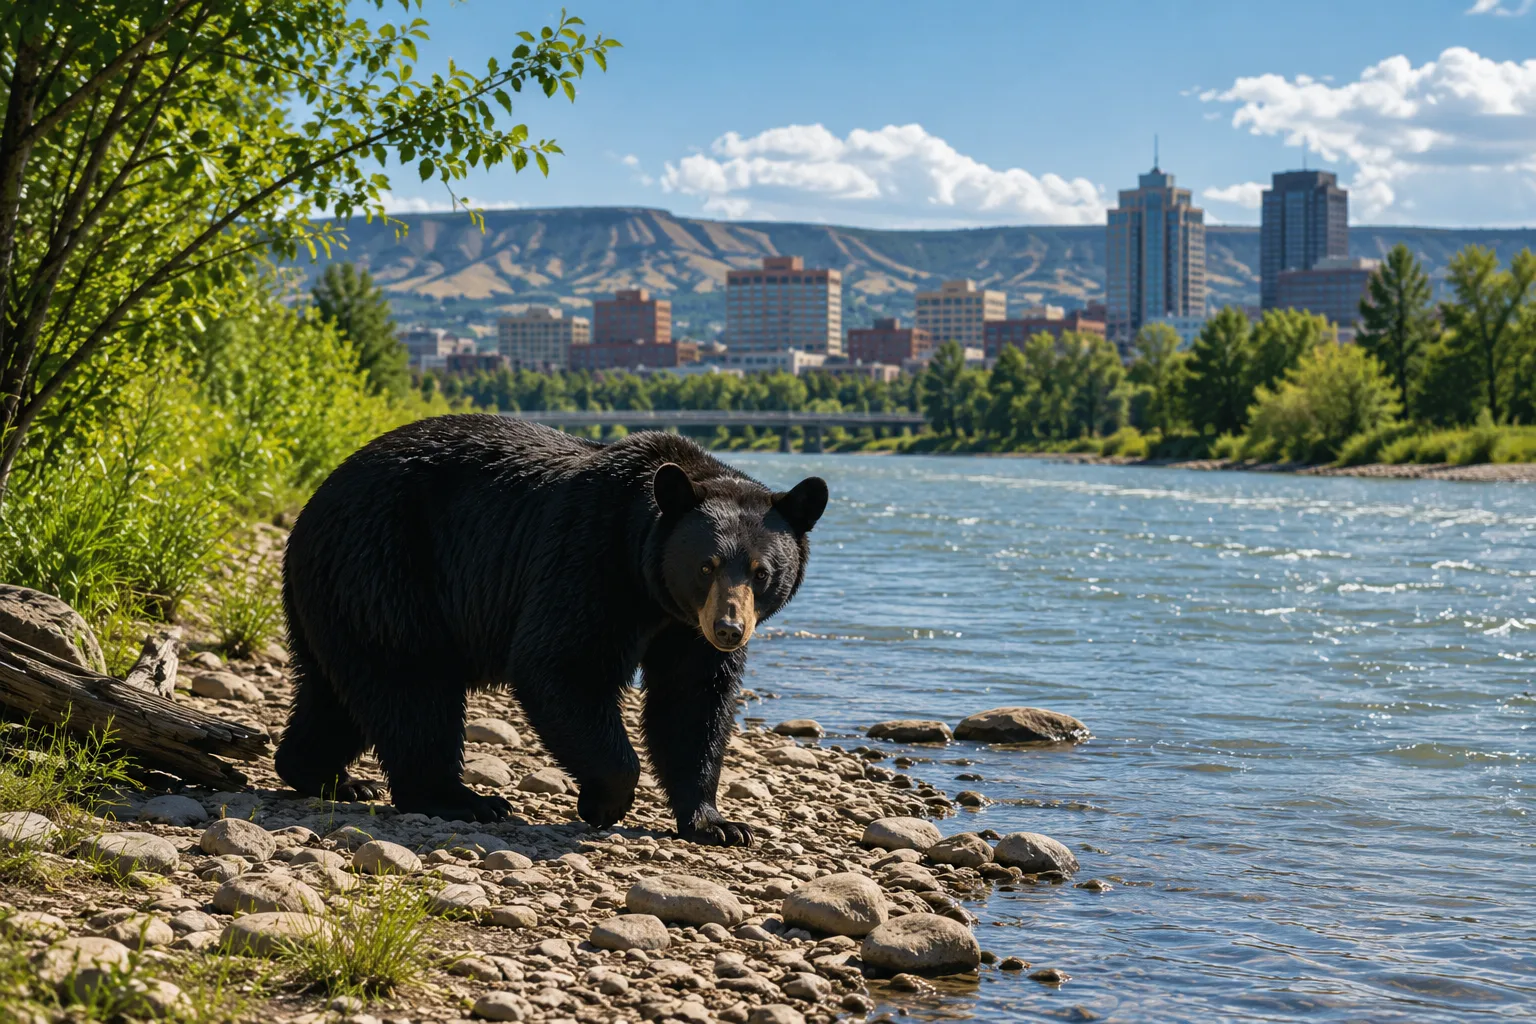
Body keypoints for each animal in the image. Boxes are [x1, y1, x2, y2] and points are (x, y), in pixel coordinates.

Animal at [273, 414, 827, 845]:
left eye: (761, 571)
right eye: (707, 565)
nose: (730, 628)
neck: (651, 585)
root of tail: (313, 504)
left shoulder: (684, 629)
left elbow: (692, 702)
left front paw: (718, 823)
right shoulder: (589, 556)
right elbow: (562, 664)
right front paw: (604, 801)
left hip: (338, 592)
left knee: (336, 690)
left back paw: (325, 776)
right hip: (389, 565)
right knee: (411, 685)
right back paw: (462, 799)